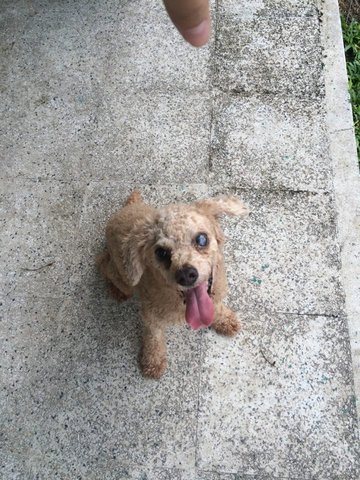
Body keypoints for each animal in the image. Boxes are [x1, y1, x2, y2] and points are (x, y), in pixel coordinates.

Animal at [97, 191, 249, 378]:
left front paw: (225, 320)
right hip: (124, 278)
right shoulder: (151, 317)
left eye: (201, 238)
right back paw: (116, 290)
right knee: (102, 263)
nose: (186, 275)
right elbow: (154, 338)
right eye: (161, 252)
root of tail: (126, 208)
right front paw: (153, 362)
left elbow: (217, 307)